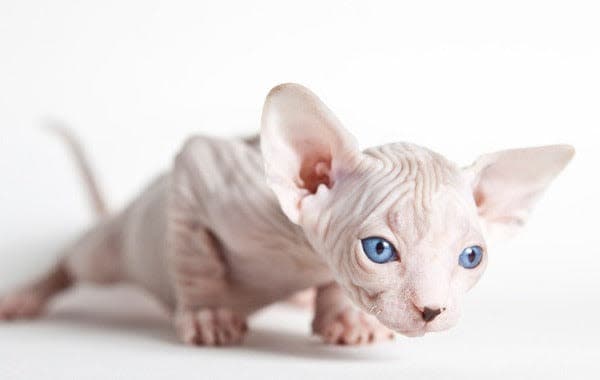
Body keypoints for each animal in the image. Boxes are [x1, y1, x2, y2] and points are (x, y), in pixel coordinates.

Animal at [0, 84, 572, 346]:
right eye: (379, 249)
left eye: (471, 257)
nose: (432, 311)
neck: (300, 255)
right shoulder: (201, 169)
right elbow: (196, 257)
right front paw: (208, 313)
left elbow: (331, 285)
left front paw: (345, 320)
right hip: (113, 248)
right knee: (74, 261)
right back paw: (26, 296)